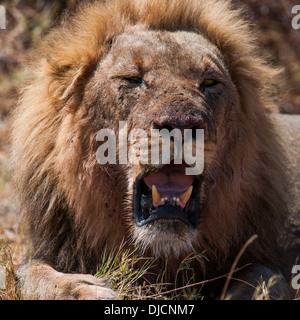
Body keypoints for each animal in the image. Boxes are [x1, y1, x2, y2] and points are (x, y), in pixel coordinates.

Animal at [11, 0, 290, 300]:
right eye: (132, 79)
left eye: (210, 83)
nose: (182, 124)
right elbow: (30, 274)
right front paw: (86, 290)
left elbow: (265, 277)